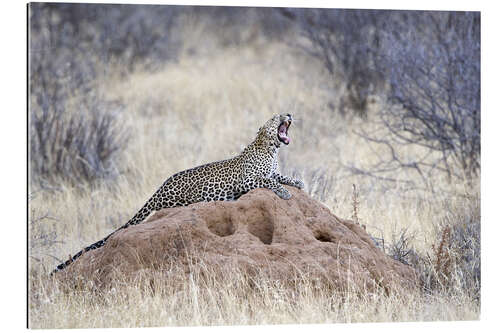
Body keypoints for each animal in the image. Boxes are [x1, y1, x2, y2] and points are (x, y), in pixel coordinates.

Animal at [52, 113, 302, 274]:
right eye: (275, 117)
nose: (288, 113)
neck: (271, 149)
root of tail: (161, 187)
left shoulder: (272, 171)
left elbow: (281, 176)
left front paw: (297, 182)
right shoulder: (248, 179)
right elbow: (269, 180)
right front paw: (286, 193)